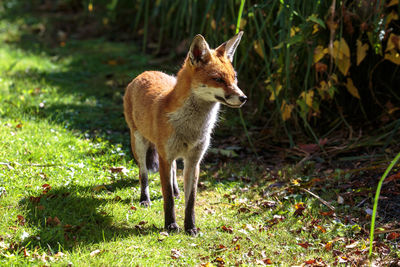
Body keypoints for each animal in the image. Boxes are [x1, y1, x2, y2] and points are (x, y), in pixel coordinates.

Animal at [123, 31, 245, 237]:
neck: (191, 128)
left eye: (234, 78)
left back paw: (176, 190)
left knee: (173, 171)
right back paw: (144, 198)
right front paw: (171, 225)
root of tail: (146, 72)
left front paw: (191, 227)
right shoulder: (164, 157)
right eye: (218, 79)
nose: (244, 98)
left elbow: (191, 201)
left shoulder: (193, 160)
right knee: (143, 173)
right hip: (139, 144)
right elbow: (168, 200)